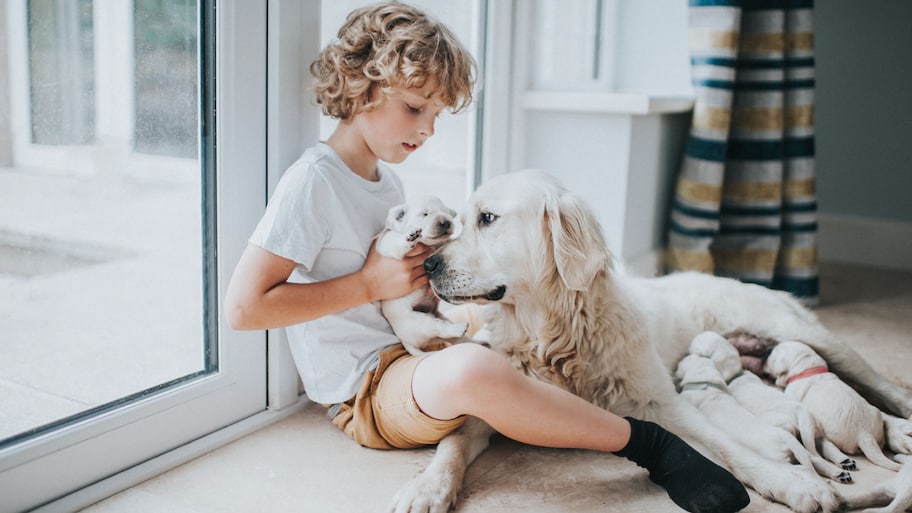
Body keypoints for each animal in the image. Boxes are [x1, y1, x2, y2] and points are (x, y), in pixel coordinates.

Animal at [374, 194, 466, 354]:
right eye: (425, 214)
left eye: (446, 212)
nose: (446, 222)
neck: (430, 244)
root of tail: (406, 342)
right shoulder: (390, 243)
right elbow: (398, 243)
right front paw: (409, 237)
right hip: (418, 321)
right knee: (439, 327)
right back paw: (460, 328)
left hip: (438, 317)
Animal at [692, 330, 856, 482]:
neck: (736, 375)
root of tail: (800, 412)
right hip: (814, 430)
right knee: (825, 447)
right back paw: (842, 466)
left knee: (813, 458)